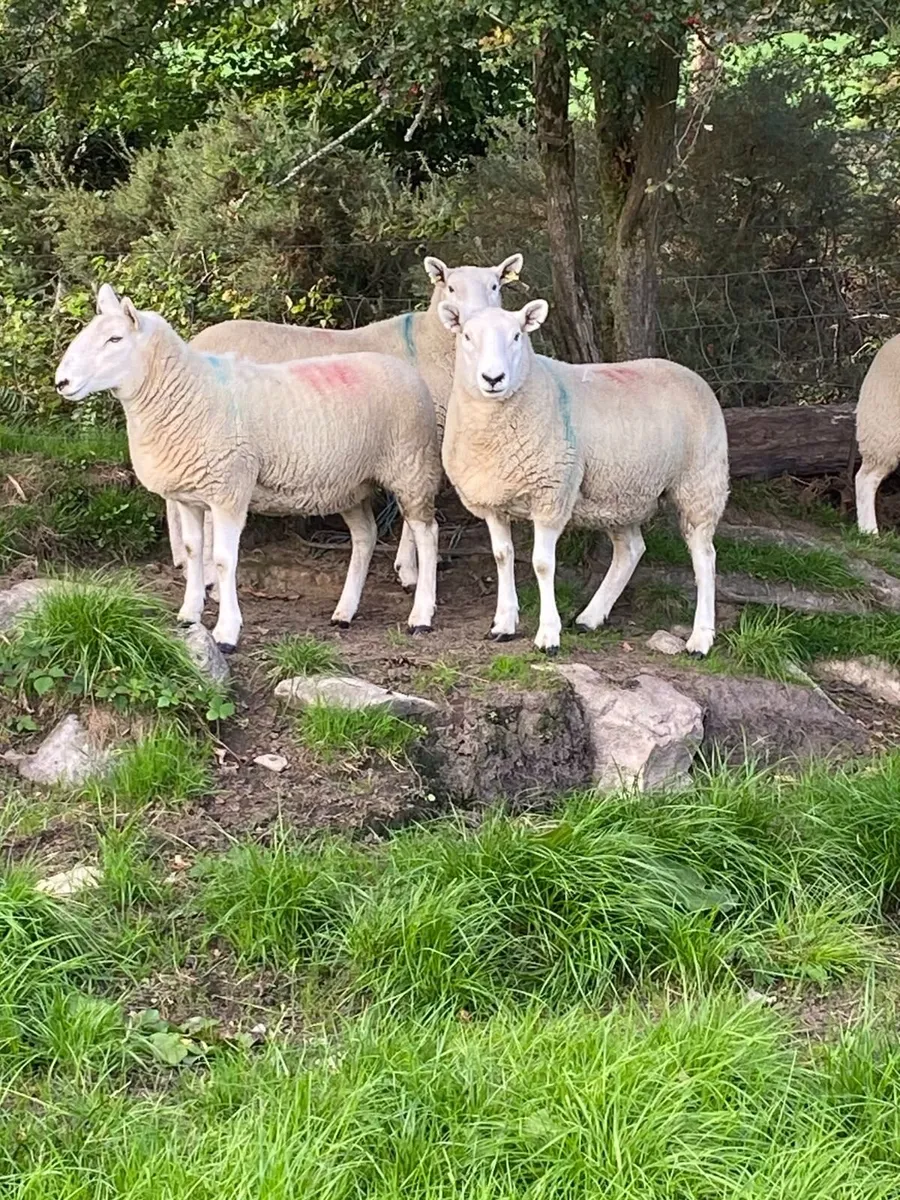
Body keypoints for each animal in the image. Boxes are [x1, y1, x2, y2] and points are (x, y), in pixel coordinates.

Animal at [54, 284, 441, 651]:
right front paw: (188, 615)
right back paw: (345, 611)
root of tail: (405, 370)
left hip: (411, 463)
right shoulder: (189, 496)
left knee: (427, 532)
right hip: (350, 483)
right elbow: (194, 552)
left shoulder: (229, 490)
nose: (62, 382)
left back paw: (421, 614)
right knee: (365, 536)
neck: (185, 392)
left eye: (115, 339)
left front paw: (227, 632)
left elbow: (223, 559)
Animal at [171, 252, 525, 591]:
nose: (474, 318)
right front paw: (410, 570)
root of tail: (193, 344)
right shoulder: (417, 436)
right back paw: (203, 572)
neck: (429, 344)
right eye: (451, 287)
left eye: (495, 286)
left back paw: (182, 560)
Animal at [438, 299, 730, 655]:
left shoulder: (551, 494)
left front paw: (548, 635)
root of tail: (689, 373)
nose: (493, 378)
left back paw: (700, 638)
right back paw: (591, 617)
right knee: (631, 550)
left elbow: (542, 564)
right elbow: (502, 557)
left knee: (705, 558)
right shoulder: (492, 500)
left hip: (700, 482)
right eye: (467, 336)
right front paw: (504, 624)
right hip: (619, 493)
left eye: (517, 336)